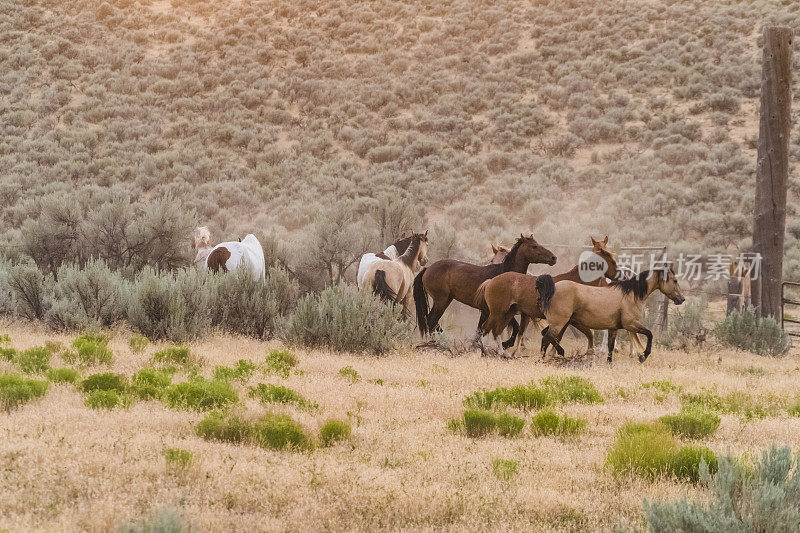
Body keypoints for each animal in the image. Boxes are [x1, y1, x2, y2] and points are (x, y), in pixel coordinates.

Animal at [412, 234, 556, 342]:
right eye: (534, 246)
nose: (553, 258)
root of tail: (427, 269)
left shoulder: (488, 311)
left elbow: (480, 330)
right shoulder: (495, 310)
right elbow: (511, 328)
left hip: (446, 300)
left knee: (432, 322)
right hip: (441, 301)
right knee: (431, 321)